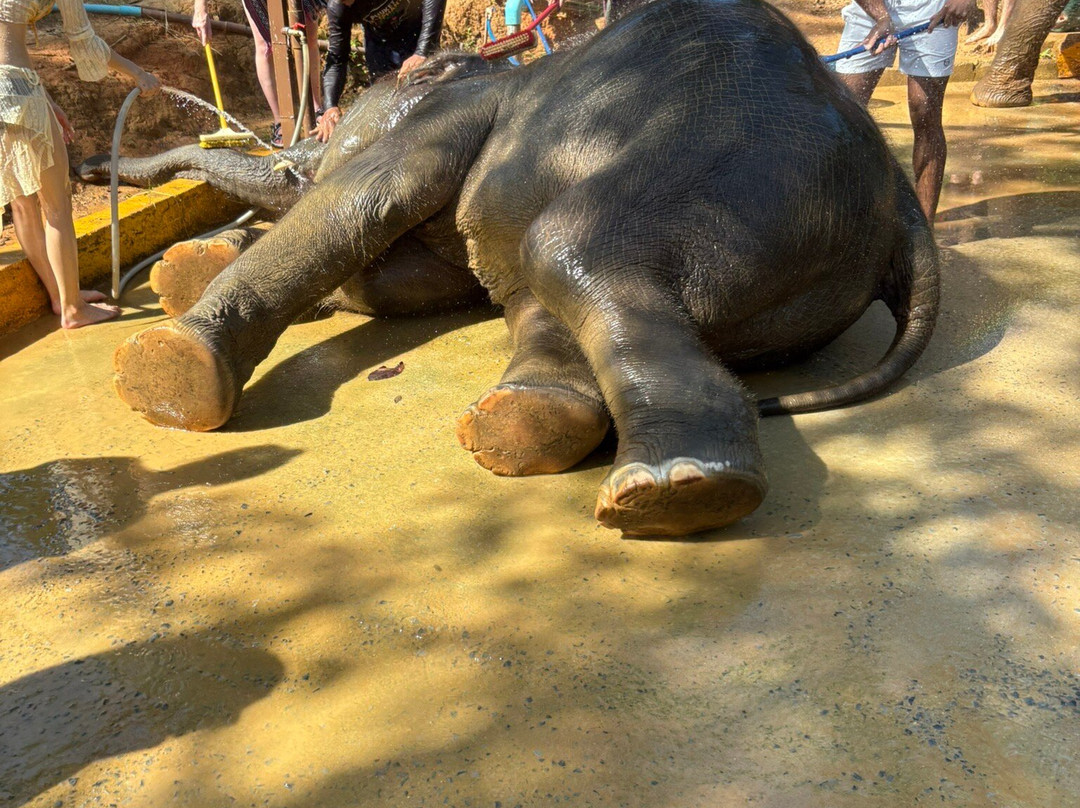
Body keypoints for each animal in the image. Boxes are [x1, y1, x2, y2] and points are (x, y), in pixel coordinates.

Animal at [104, 0, 940, 537]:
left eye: (324, 140)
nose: (95, 165)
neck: (479, 71)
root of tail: (904, 204)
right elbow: (393, 279)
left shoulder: (444, 126)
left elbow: (355, 205)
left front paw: (165, 365)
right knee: (545, 292)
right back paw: (531, 423)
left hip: (744, 169)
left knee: (564, 247)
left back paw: (676, 493)